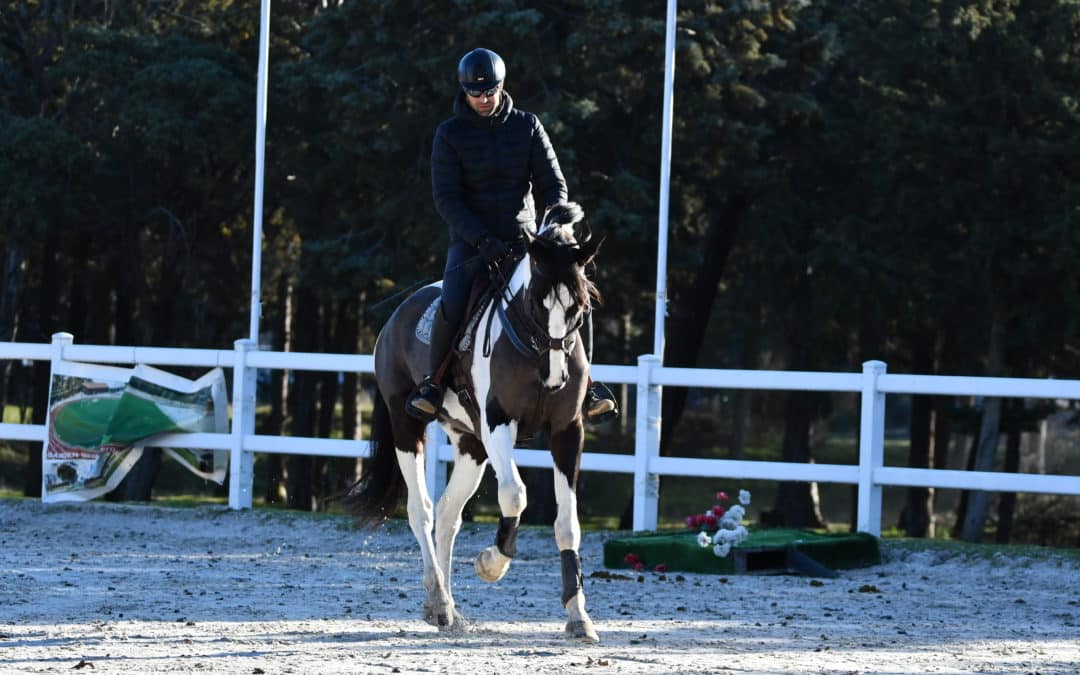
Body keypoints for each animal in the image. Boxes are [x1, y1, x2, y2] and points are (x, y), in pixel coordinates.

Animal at [343, 200, 604, 643]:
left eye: (579, 307)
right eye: (537, 303)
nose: (554, 377)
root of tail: (398, 315)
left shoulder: (567, 431)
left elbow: (568, 523)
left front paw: (578, 616)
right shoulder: (499, 423)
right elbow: (514, 494)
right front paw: (492, 563)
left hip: (471, 445)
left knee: (448, 514)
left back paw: (447, 608)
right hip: (407, 429)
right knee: (421, 510)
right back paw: (438, 600)